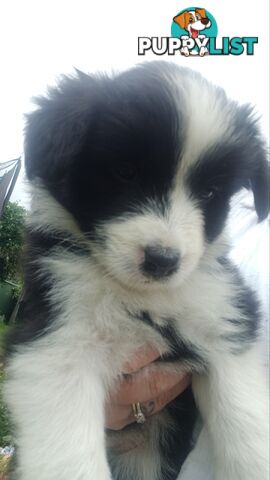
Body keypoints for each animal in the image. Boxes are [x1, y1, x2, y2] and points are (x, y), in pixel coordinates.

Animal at [3, 62, 268, 480]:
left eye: (209, 193)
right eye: (125, 171)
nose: (162, 260)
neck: (140, 293)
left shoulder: (226, 320)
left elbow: (246, 426)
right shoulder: (57, 340)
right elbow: (71, 459)